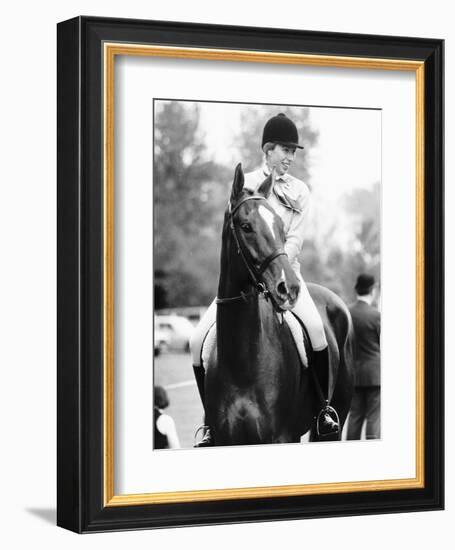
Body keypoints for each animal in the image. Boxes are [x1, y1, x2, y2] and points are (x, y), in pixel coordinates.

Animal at [205, 165, 354, 448]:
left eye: (281, 229)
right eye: (246, 226)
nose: (290, 288)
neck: (242, 362)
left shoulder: (280, 437)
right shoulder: (226, 440)